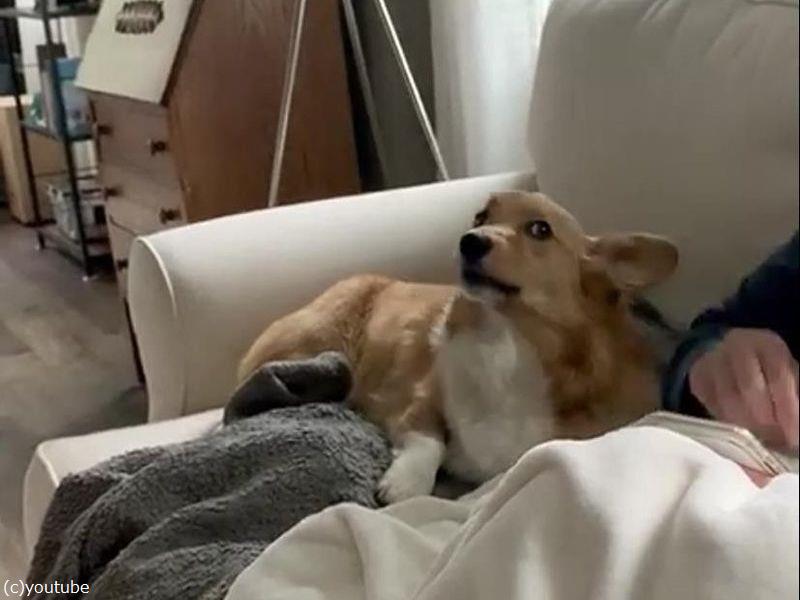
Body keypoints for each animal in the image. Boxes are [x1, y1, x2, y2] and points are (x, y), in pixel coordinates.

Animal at [237, 191, 679, 503]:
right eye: (481, 218)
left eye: (540, 229)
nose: (469, 241)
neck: (504, 340)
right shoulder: (418, 399)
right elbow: (427, 440)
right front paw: (405, 484)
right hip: (313, 342)